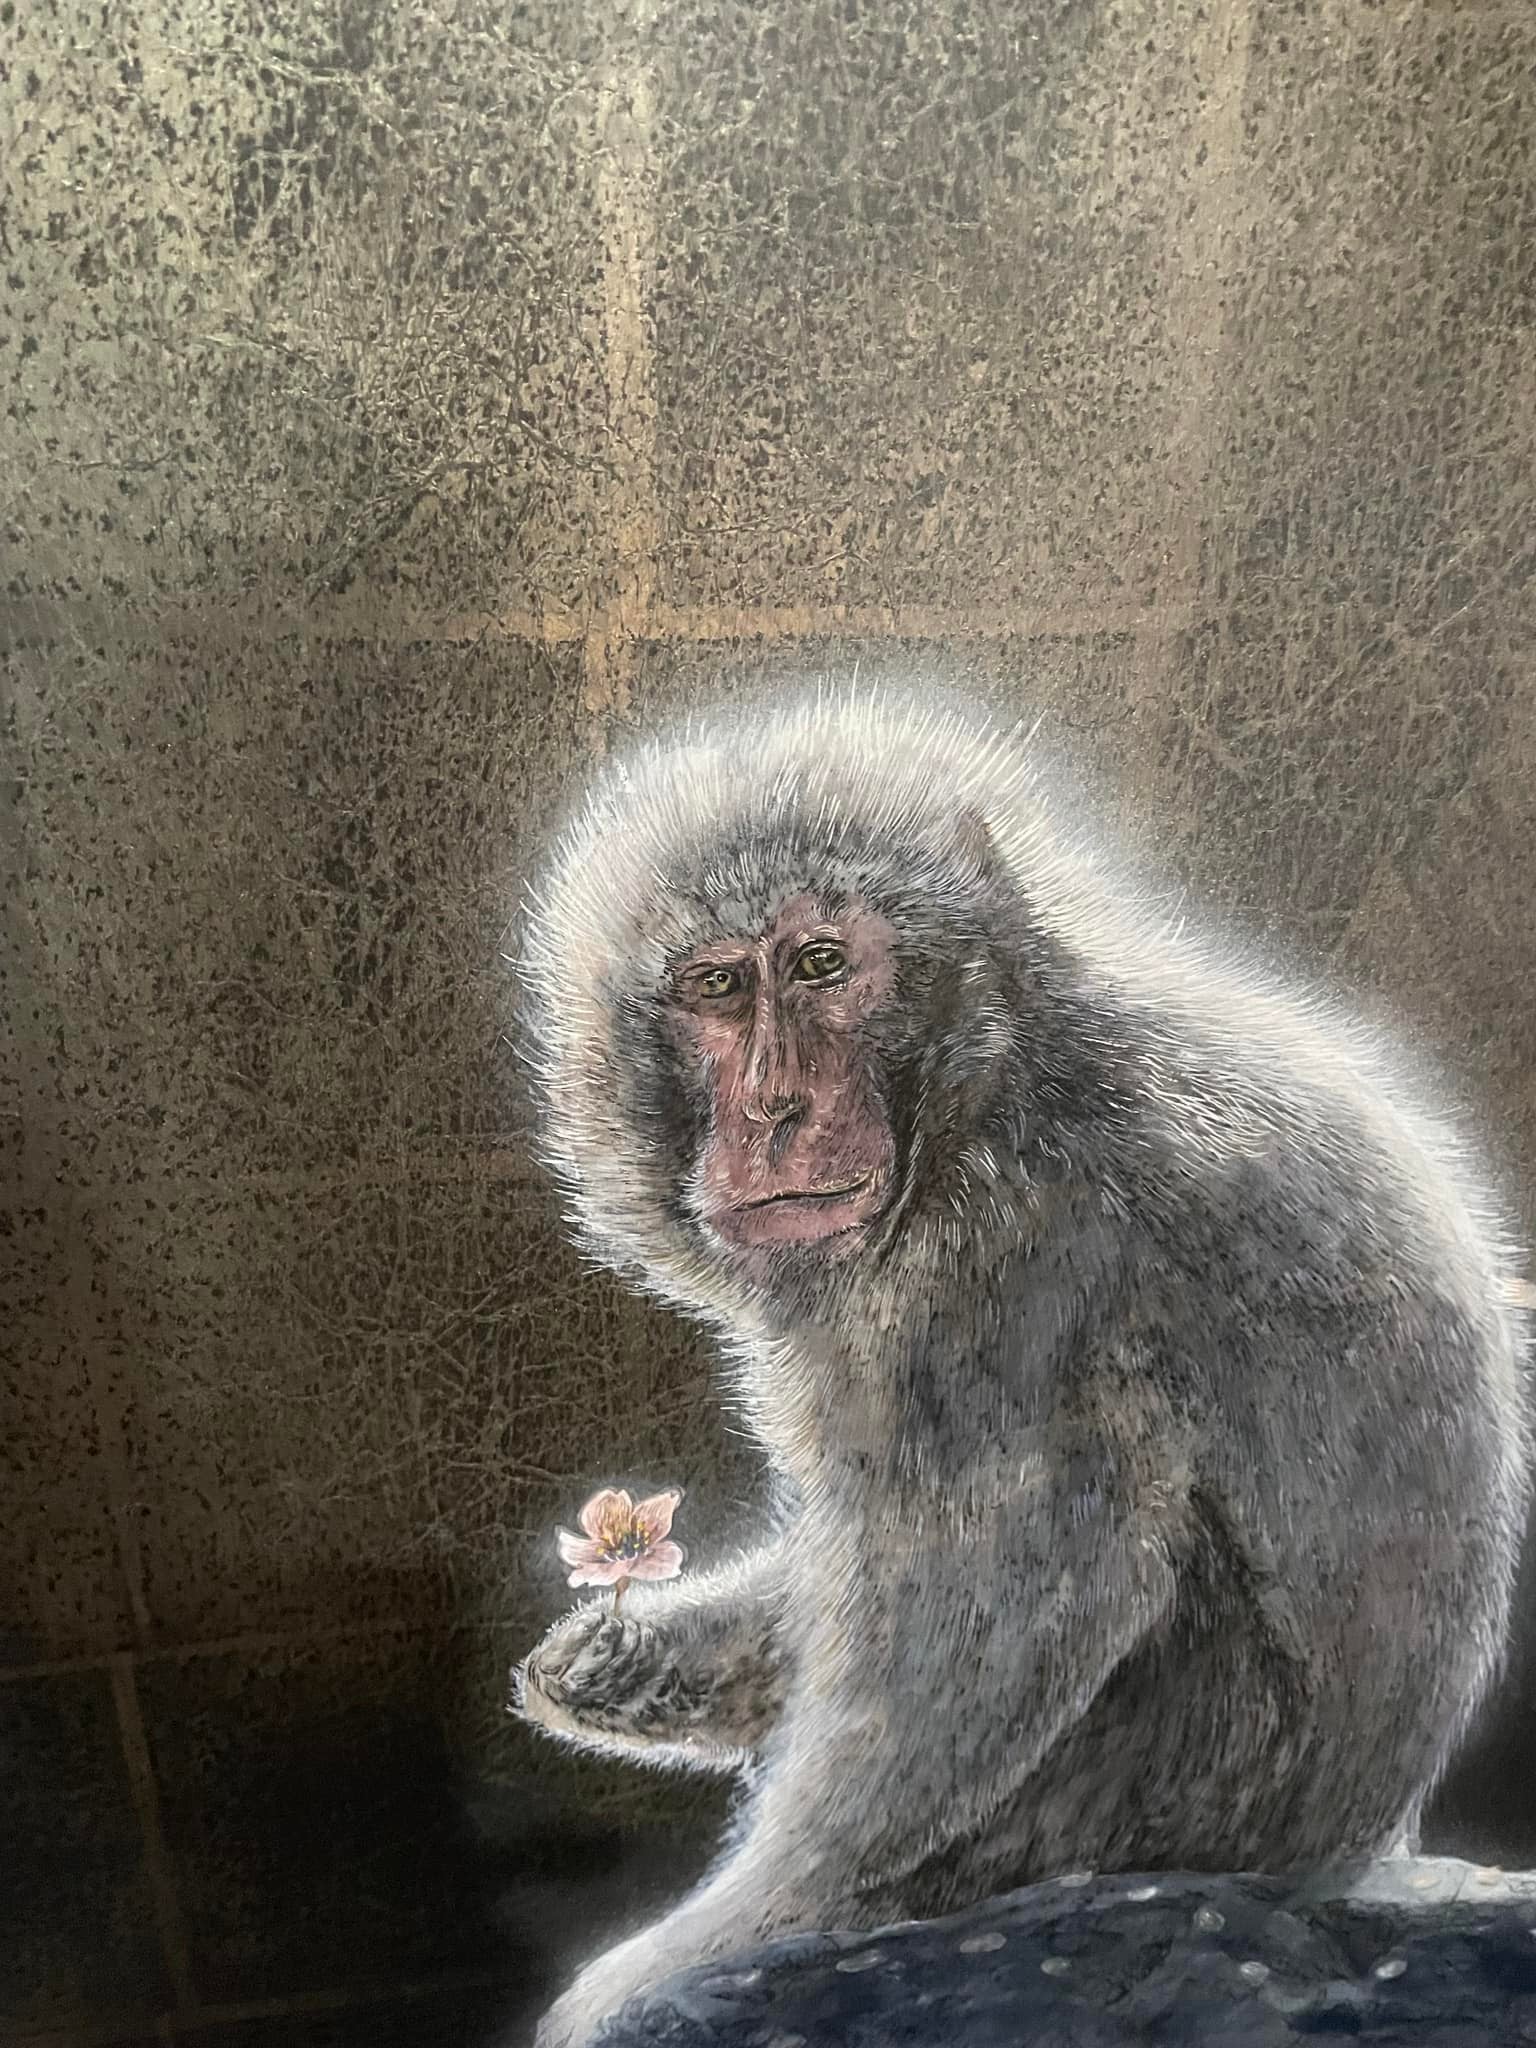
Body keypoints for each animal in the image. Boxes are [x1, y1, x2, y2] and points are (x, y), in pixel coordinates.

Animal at [509, 684, 1530, 2048]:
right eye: (717, 984)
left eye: (822, 963)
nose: (775, 1105)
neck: (991, 1088)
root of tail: (1347, 1850)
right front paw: (635, 1658)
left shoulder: (1010, 1287)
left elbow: (992, 1613)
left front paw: (699, 1941)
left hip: (1164, 1786)